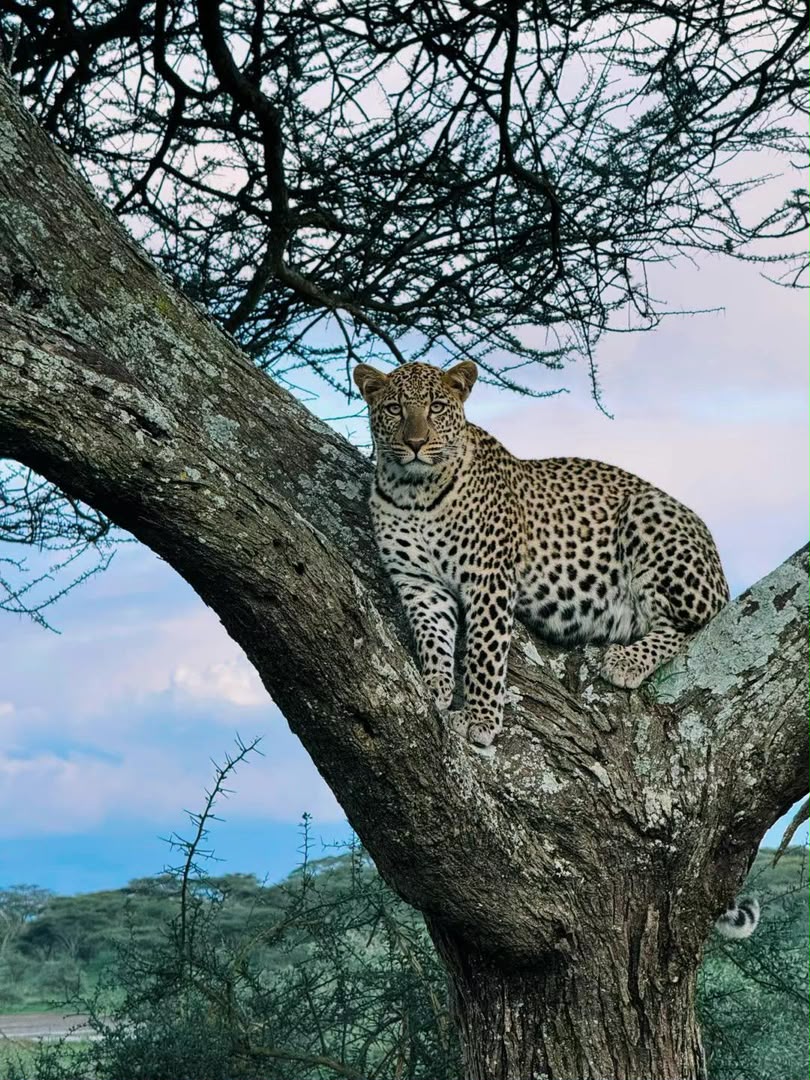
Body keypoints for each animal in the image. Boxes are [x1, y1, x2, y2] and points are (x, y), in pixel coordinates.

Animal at [354, 359, 730, 750]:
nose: (415, 443)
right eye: (394, 409)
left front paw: (480, 719)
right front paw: (435, 685)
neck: (414, 492)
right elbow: (432, 636)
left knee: (691, 624)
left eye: (437, 408)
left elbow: (484, 653)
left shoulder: (489, 577)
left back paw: (626, 661)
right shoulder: (419, 581)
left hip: (650, 516)